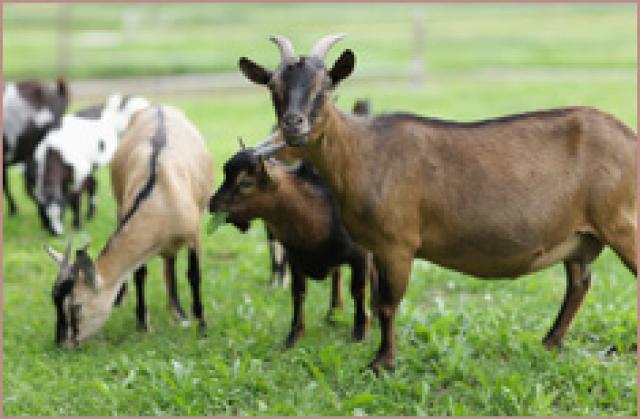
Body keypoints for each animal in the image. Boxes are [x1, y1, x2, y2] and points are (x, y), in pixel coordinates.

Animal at [209, 144, 376, 348]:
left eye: (246, 182)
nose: (212, 204)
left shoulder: (360, 255)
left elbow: (358, 290)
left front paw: (360, 332)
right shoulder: (295, 259)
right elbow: (298, 293)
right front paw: (293, 336)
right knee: (337, 275)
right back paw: (333, 315)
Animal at [239, 34, 636, 372]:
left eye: (324, 88)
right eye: (274, 89)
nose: (293, 125)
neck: (364, 152)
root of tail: (629, 135)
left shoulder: (397, 243)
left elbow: (387, 304)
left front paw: (382, 363)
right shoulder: (374, 248)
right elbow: (375, 300)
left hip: (622, 222)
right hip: (580, 234)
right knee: (579, 282)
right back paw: (550, 342)